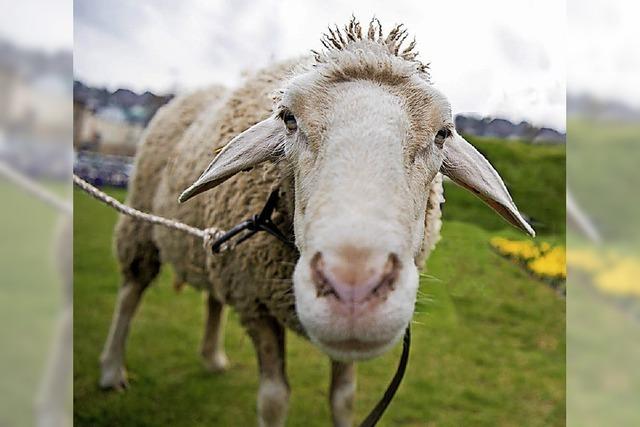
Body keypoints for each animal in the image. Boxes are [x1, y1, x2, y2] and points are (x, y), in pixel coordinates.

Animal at [99, 17, 528, 427]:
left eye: (442, 134)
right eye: (288, 119)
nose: (354, 288)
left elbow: (344, 399)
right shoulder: (256, 304)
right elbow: (274, 400)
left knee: (212, 294)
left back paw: (212, 357)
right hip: (141, 223)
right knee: (130, 292)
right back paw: (112, 370)